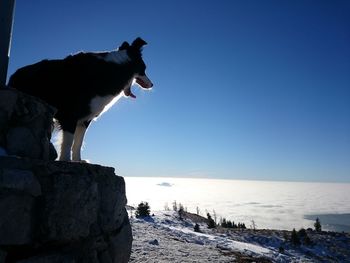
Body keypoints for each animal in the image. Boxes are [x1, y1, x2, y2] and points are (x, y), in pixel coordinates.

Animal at [7, 36, 152, 161]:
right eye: (144, 69)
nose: (152, 85)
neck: (114, 69)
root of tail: (14, 74)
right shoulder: (69, 115)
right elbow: (68, 142)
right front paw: (65, 160)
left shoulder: (85, 119)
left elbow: (78, 143)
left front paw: (77, 160)